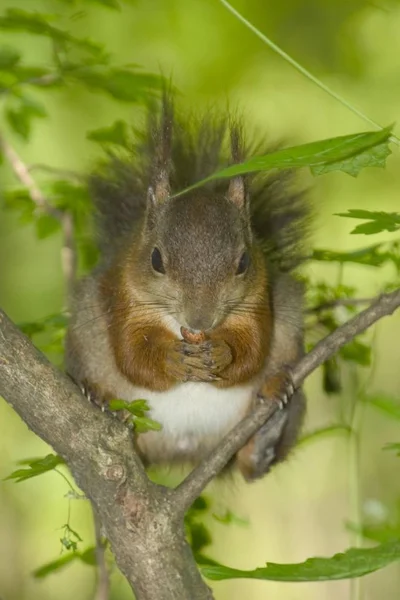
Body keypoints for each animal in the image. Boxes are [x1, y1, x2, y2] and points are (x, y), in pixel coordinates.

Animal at [65, 94, 310, 482]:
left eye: (243, 262)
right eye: (155, 259)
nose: (201, 321)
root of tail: (186, 451)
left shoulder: (259, 296)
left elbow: (254, 349)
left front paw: (224, 353)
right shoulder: (122, 292)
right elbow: (131, 355)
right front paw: (170, 358)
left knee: (251, 466)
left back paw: (267, 432)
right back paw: (103, 401)